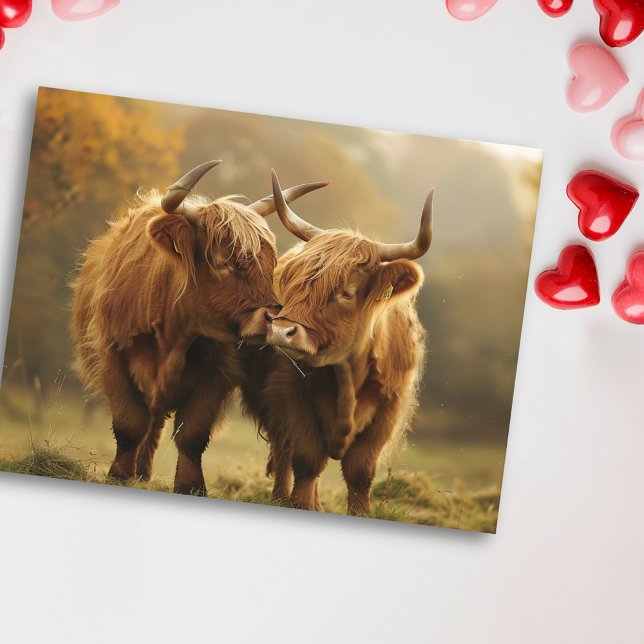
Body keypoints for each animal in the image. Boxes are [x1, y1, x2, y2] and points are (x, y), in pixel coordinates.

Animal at [71, 160, 327, 495]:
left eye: (270, 262)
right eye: (221, 262)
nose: (272, 319)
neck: (172, 334)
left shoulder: (216, 372)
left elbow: (192, 434)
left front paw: (191, 486)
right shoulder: (114, 358)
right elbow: (130, 424)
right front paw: (119, 474)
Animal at [260, 169, 433, 516]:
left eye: (345, 292)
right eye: (293, 282)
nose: (282, 331)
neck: (347, 374)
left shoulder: (390, 406)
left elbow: (360, 470)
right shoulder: (293, 393)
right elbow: (307, 461)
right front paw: (301, 506)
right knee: (284, 452)